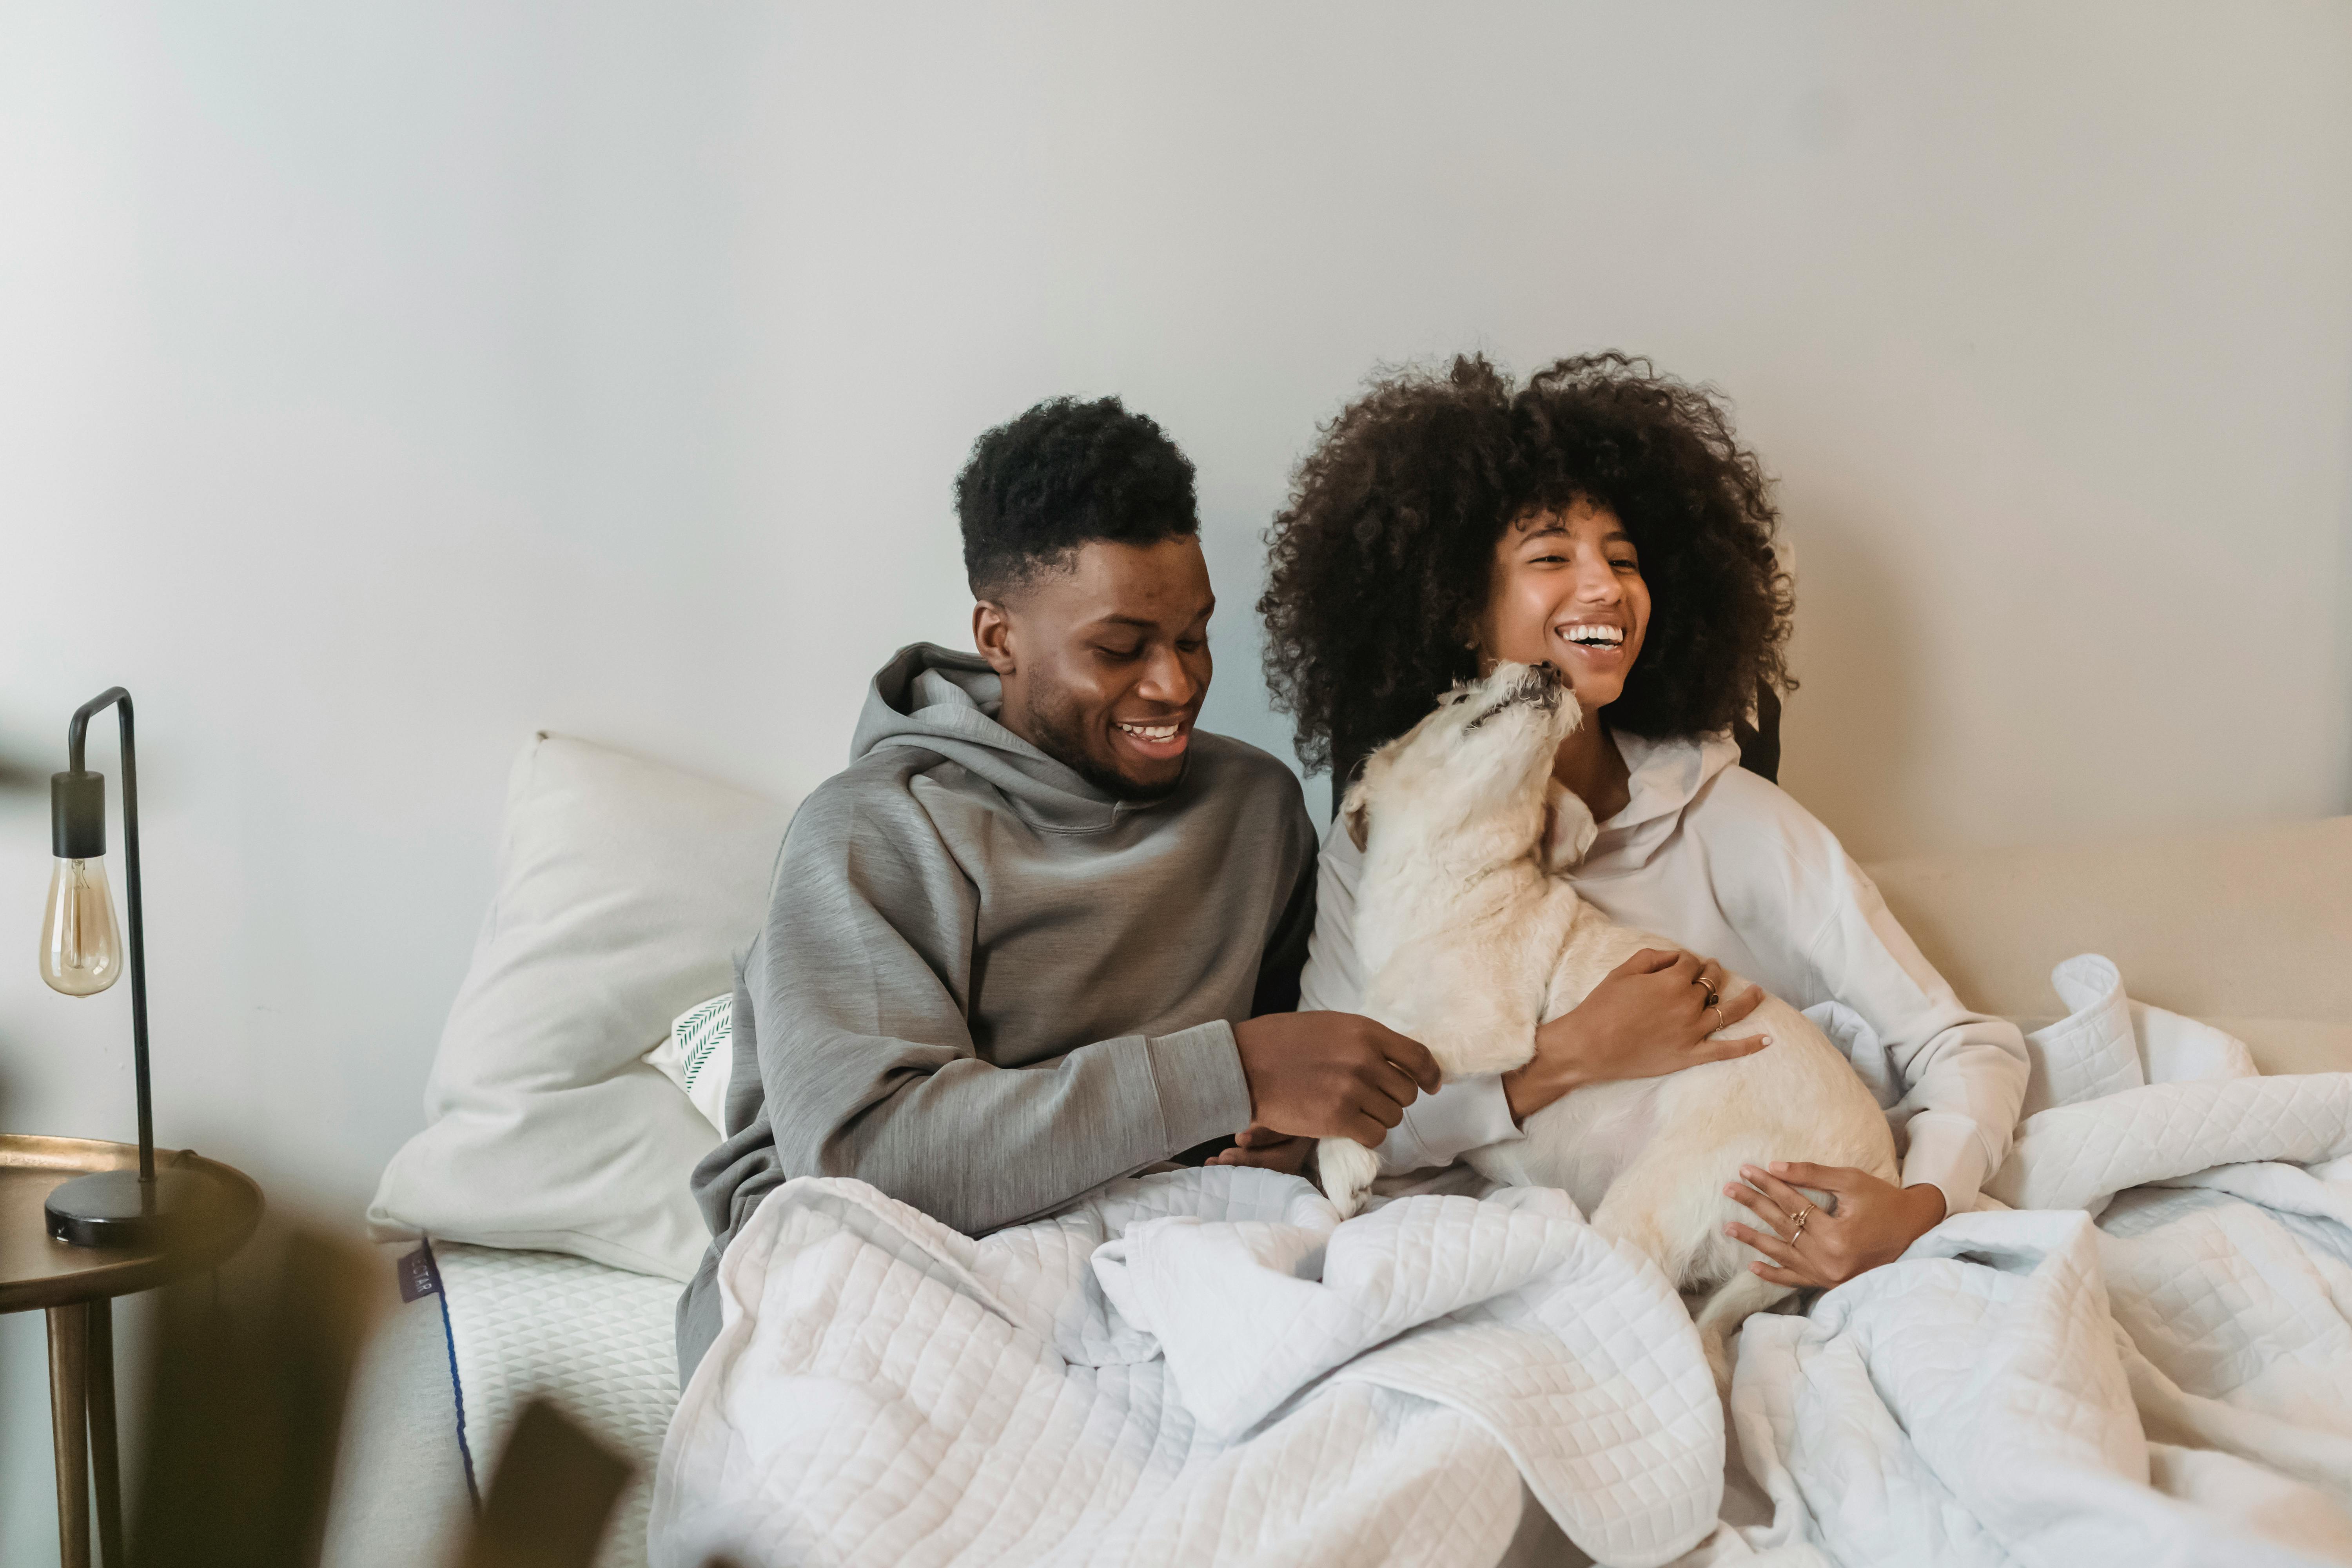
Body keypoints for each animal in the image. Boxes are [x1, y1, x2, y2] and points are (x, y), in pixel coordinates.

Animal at [1327, 663, 1891, 1382]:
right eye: (1456, 694)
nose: (1549, 669)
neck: (1448, 886)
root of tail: (1879, 1171)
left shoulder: (1486, 1025)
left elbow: (1372, 1048)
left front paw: (1341, 1156)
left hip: (1651, 1201)